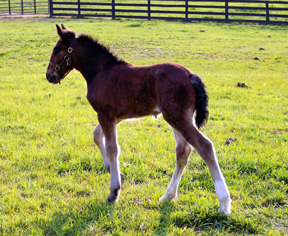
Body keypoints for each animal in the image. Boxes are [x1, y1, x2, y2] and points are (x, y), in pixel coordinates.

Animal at [46, 24, 232, 216]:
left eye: (56, 49)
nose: (49, 75)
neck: (101, 71)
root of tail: (191, 75)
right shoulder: (115, 117)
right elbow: (97, 135)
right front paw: (114, 172)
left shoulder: (105, 114)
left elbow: (112, 148)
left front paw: (114, 192)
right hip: (178, 118)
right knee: (183, 151)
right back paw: (168, 196)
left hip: (178, 118)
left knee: (205, 146)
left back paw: (224, 203)